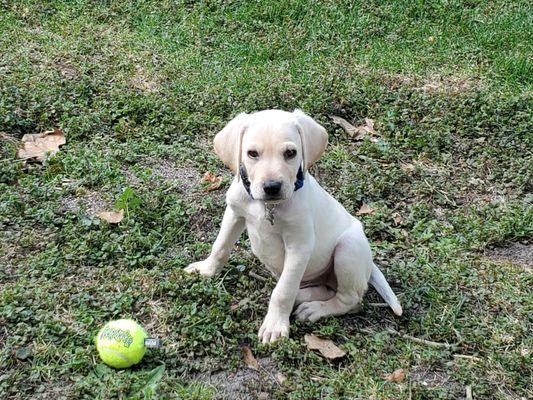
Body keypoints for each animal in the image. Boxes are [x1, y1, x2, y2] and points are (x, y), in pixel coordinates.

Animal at [185, 109, 402, 344]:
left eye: (290, 153)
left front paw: (275, 325)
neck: (269, 207)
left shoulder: (299, 246)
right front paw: (206, 270)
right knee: (326, 289)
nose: (272, 187)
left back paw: (314, 309)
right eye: (252, 153)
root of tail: (369, 265)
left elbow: (283, 291)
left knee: (350, 299)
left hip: (348, 248)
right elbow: (220, 246)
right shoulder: (234, 213)